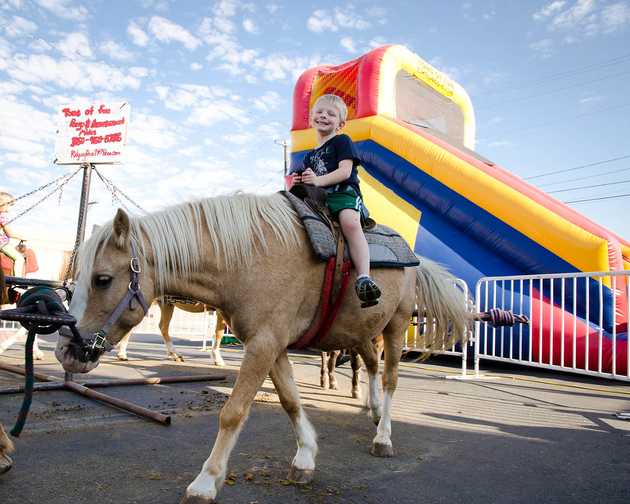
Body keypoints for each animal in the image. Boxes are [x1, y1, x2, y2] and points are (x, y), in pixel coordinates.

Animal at [54, 191, 470, 502]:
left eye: (103, 279)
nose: (64, 352)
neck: (250, 256)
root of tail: (415, 259)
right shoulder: (272, 346)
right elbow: (290, 400)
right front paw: (305, 457)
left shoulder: (264, 344)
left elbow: (233, 412)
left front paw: (206, 481)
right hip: (363, 332)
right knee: (369, 366)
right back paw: (372, 410)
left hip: (396, 326)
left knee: (391, 380)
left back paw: (383, 434)